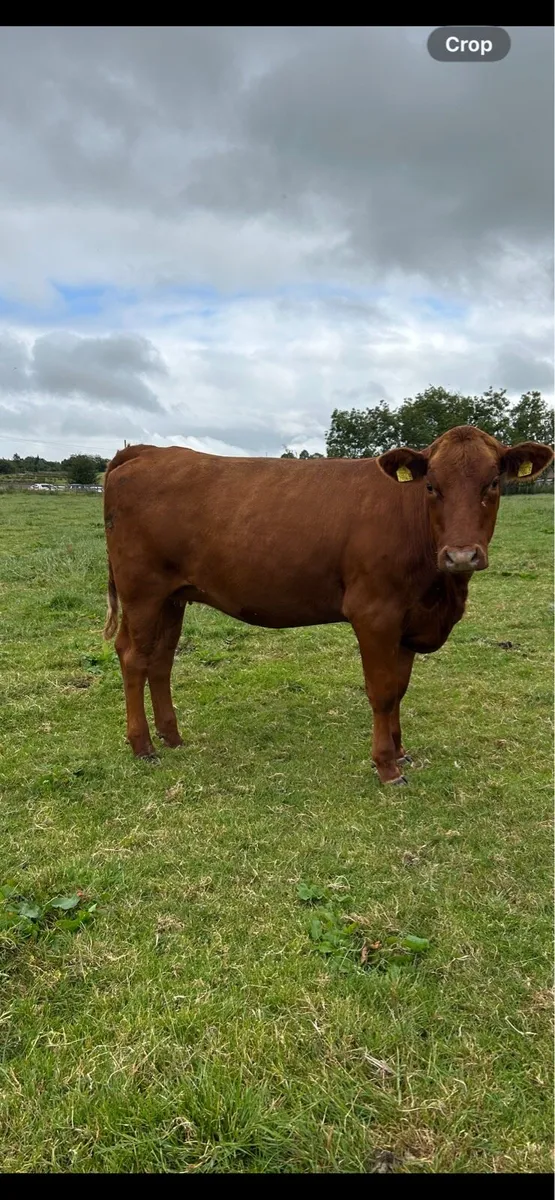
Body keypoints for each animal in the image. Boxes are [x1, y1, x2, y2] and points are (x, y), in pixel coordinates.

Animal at [102, 426, 553, 785]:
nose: (460, 556)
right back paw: (143, 746)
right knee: (134, 657)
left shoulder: (408, 620)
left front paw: (400, 750)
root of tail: (149, 451)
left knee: (161, 660)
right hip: (142, 593)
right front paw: (386, 766)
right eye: (430, 486)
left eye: (493, 483)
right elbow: (382, 691)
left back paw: (172, 737)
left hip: (172, 597)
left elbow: (400, 688)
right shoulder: (374, 613)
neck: (439, 590)